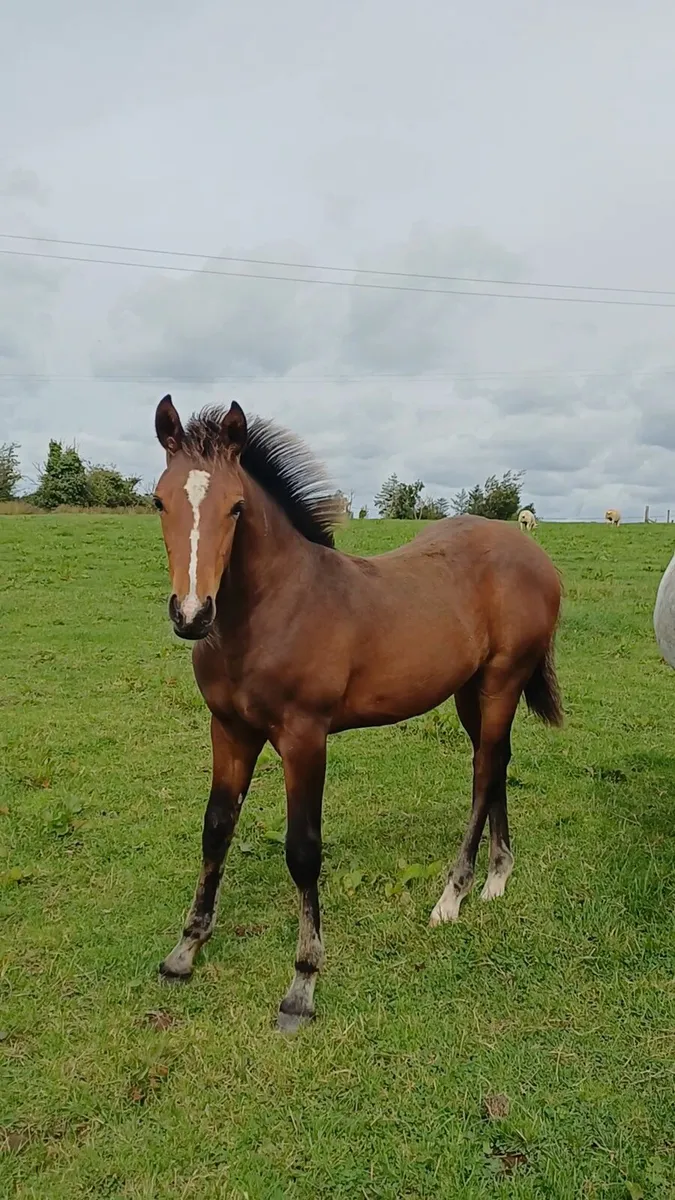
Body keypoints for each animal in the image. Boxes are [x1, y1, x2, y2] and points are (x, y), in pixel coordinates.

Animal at [152, 396, 563, 1032]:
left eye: (237, 507)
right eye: (158, 501)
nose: (192, 614)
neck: (275, 609)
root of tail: (533, 554)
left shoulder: (305, 737)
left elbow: (302, 849)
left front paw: (302, 982)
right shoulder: (230, 730)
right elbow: (215, 829)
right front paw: (185, 951)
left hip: (502, 682)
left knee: (482, 773)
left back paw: (453, 895)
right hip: (470, 691)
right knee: (494, 761)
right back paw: (497, 876)